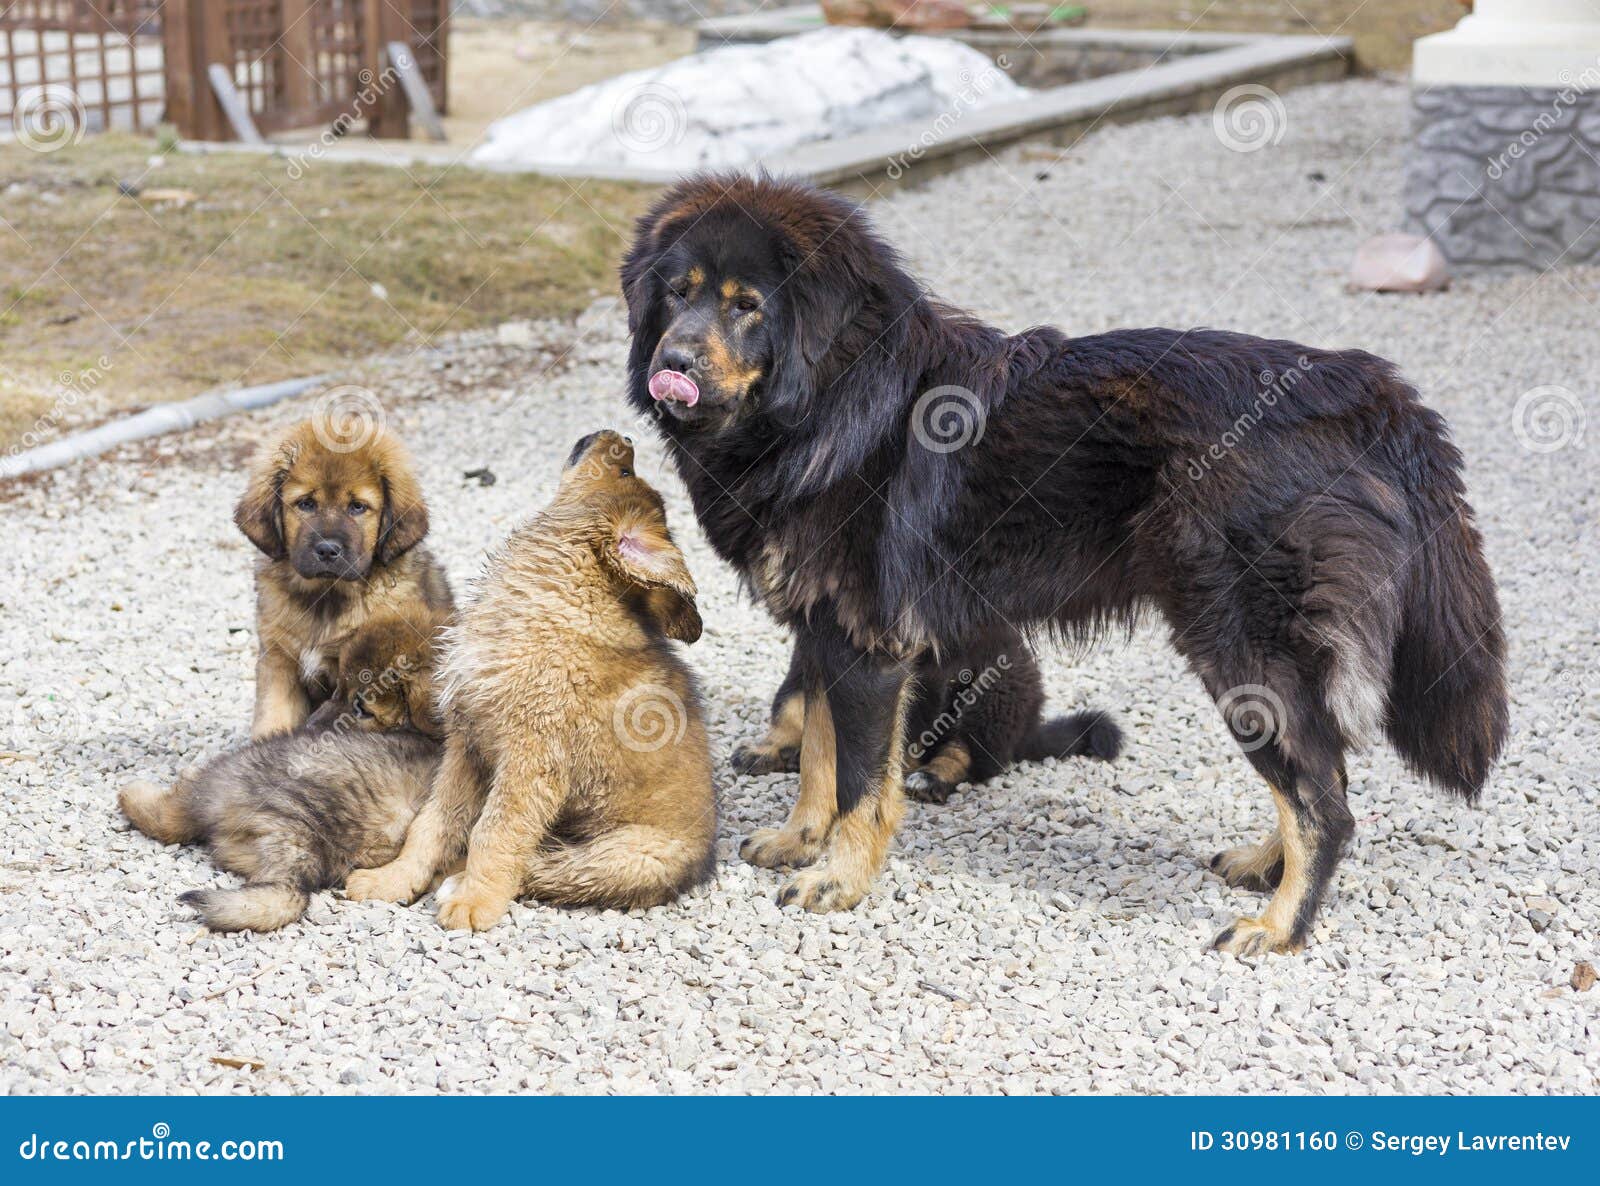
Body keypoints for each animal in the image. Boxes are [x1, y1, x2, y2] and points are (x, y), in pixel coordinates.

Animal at [118, 605, 451, 928]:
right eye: (338, 686)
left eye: (362, 708)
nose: (309, 726)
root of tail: (303, 848)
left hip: (234, 773)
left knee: (170, 815)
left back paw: (134, 793)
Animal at [233, 412, 454, 736]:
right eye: (306, 503)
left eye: (358, 507)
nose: (327, 550)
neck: (325, 598)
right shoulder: (278, 658)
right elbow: (272, 716)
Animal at [347, 425, 716, 928]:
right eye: (626, 470)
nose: (622, 434)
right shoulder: (468, 745)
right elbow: (432, 822)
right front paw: (393, 879)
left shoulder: (533, 760)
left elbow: (495, 832)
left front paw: (475, 902)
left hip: (627, 855)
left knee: (549, 866)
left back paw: (459, 883)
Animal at [617, 173, 1504, 953]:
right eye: (677, 295)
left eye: (748, 305)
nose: (674, 363)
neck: (833, 401)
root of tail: (1369, 390)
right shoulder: (826, 631)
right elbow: (819, 756)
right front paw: (800, 840)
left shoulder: (870, 645)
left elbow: (862, 783)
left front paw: (839, 878)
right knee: (1325, 777)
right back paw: (1265, 866)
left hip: (1238, 648)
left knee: (1324, 799)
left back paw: (1280, 928)